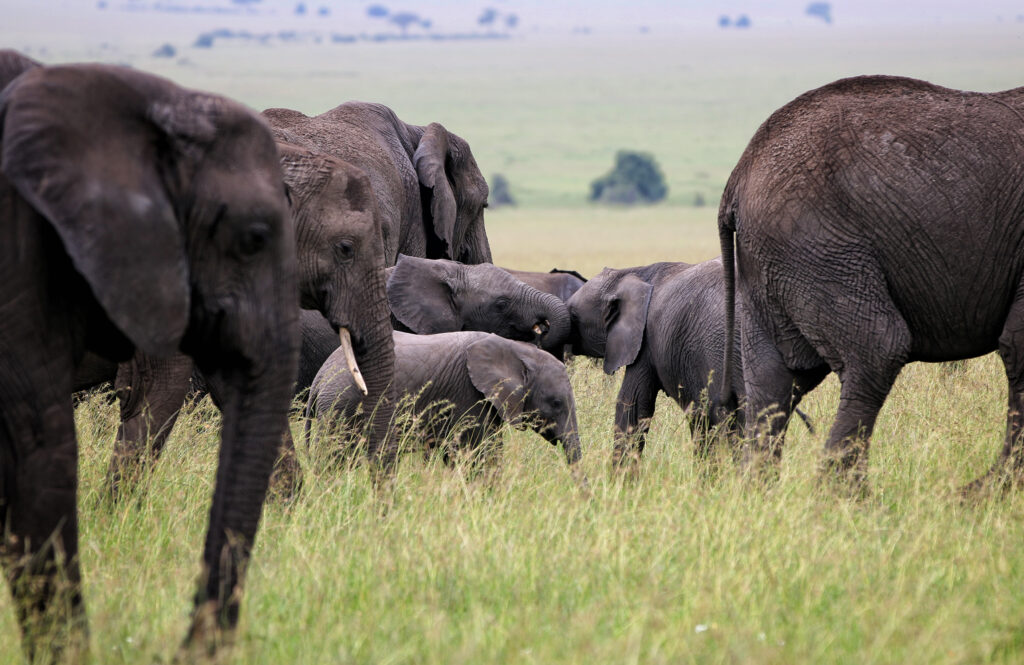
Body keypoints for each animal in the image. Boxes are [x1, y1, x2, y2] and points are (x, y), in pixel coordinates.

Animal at [306, 331, 584, 472]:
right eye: (556, 403)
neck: (518, 349)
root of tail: (320, 376)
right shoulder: (469, 395)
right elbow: (479, 455)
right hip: (341, 406)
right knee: (335, 457)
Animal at [718, 74, 1024, 491]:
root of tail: (740, 174)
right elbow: (1020, 345)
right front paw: (992, 495)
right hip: (819, 244)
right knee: (879, 349)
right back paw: (849, 498)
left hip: (771, 260)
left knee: (774, 380)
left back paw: (759, 494)